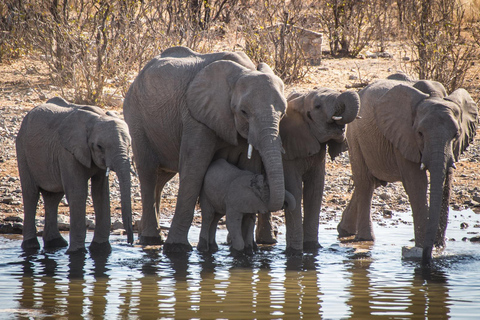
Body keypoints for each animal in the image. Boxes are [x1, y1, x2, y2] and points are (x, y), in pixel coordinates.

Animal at [16, 97, 134, 252]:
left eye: (129, 146)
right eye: (99, 147)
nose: (130, 243)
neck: (98, 117)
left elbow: (101, 193)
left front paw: (100, 249)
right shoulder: (67, 152)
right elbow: (78, 193)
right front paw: (77, 252)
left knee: (53, 197)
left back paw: (56, 243)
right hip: (22, 149)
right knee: (31, 194)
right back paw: (31, 246)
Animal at [124, 45, 286, 252]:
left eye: (283, 114)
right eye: (244, 112)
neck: (243, 71)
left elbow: (250, 167)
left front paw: (247, 248)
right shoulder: (196, 117)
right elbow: (194, 169)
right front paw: (177, 248)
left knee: (161, 178)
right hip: (136, 117)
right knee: (148, 173)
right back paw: (151, 239)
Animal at [336, 76, 478, 266]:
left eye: (456, 135)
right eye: (420, 133)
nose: (428, 255)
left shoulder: (453, 148)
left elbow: (445, 185)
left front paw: (439, 249)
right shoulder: (404, 135)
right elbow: (417, 184)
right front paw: (422, 250)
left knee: (372, 182)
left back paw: (345, 231)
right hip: (355, 135)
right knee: (365, 183)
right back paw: (364, 238)